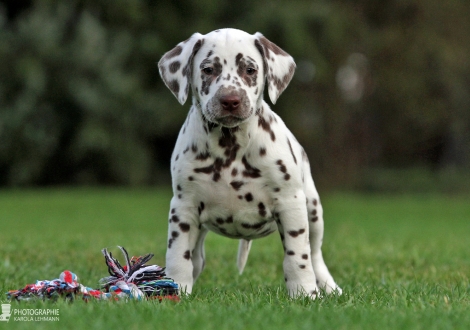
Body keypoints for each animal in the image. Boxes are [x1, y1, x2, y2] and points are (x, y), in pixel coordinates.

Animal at [159, 28, 342, 300]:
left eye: (250, 69)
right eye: (208, 69)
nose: (230, 100)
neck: (230, 147)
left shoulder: (291, 204)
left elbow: (298, 256)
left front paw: (304, 293)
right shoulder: (183, 207)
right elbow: (178, 256)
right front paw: (176, 290)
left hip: (313, 209)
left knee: (316, 255)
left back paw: (330, 288)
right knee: (197, 259)